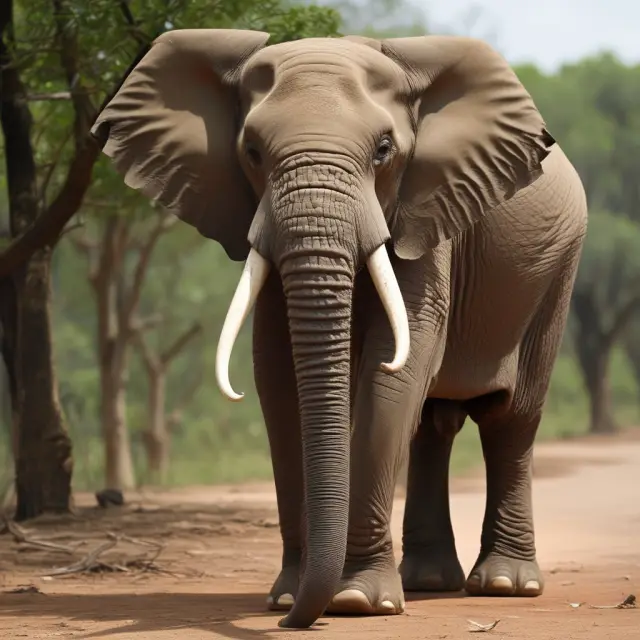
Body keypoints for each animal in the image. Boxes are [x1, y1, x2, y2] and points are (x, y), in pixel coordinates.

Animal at [91, 30, 588, 629]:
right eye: (252, 152)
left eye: (384, 150)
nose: (292, 622)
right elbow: (277, 371)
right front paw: (289, 597)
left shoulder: (425, 212)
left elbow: (398, 363)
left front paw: (358, 602)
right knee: (432, 425)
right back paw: (426, 582)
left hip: (557, 269)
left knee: (510, 419)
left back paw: (504, 586)